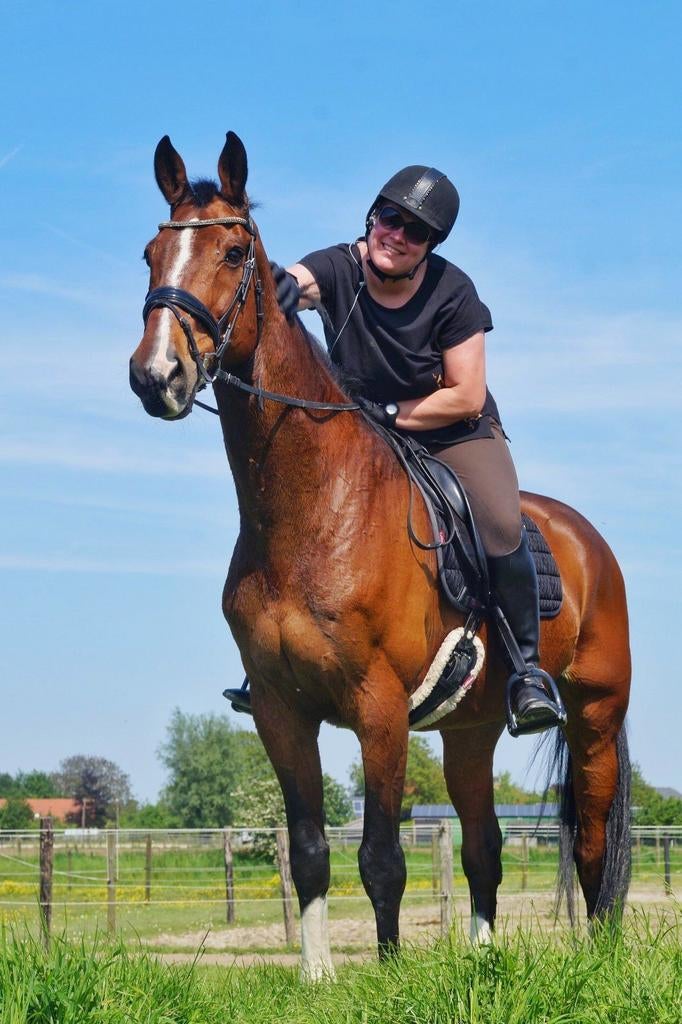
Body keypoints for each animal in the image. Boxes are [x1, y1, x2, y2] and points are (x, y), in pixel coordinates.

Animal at [129, 132, 631, 979]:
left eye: (234, 251)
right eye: (150, 253)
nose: (156, 375)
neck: (311, 513)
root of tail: (588, 540)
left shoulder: (379, 708)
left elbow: (382, 859)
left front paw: (389, 974)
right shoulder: (281, 712)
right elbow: (308, 853)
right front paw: (318, 978)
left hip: (594, 714)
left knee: (593, 843)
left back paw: (599, 957)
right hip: (470, 732)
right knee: (486, 847)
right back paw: (482, 958)